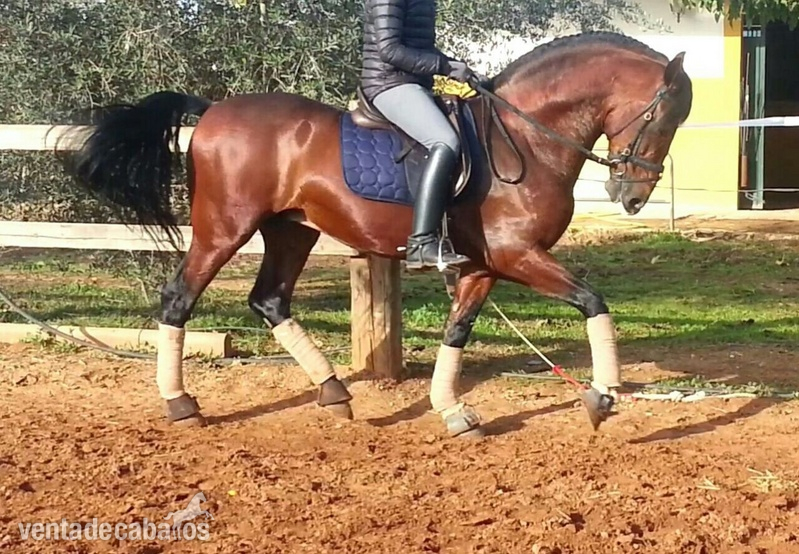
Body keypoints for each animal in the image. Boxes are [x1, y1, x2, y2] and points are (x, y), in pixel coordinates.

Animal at [58, 31, 693, 439]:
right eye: (662, 116)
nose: (633, 197)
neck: (525, 139)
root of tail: (212, 109)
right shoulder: (518, 255)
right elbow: (592, 300)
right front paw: (603, 397)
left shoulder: (484, 265)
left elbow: (456, 331)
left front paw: (452, 412)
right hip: (223, 229)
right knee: (179, 299)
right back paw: (181, 404)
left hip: (291, 232)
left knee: (269, 300)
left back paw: (335, 393)